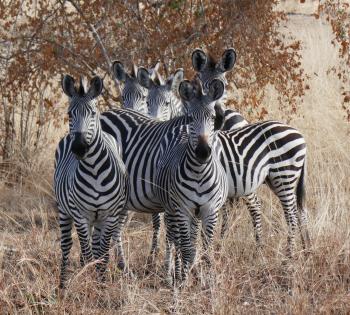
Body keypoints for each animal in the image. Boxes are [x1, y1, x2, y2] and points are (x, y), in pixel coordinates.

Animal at [55, 74, 130, 288]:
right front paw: (89, 284)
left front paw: (101, 285)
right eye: (69, 115)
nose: (79, 148)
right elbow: (88, 254)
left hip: (99, 218)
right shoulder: (80, 214)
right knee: (67, 246)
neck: (94, 171)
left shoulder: (110, 215)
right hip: (65, 210)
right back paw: (62, 285)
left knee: (96, 246)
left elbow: (102, 255)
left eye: (93, 113)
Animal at [155, 79, 227, 284]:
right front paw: (183, 282)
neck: (199, 174)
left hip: (196, 214)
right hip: (171, 209)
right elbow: (187, 249)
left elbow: (206, 250)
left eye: (213, 117)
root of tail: (179, 128)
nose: (203, 152)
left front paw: (208, 282)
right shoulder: (182, 209)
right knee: (174, 240)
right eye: (190, 118)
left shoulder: (210, 210)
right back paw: (173, 273)